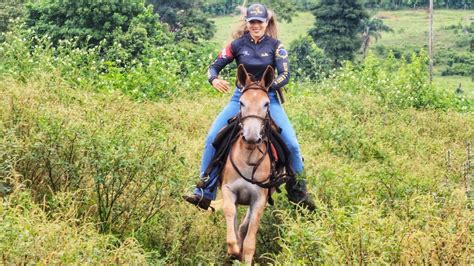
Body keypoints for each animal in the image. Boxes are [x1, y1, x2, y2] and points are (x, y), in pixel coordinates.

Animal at [221, 64, 278, 262]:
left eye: (266, 103)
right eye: (241, 103)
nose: (252, 137)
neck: (248, 156)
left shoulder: (259, 199)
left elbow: (249, 242)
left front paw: (242, 256)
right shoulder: (228, 190)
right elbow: (230, 218)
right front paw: (234, 251)